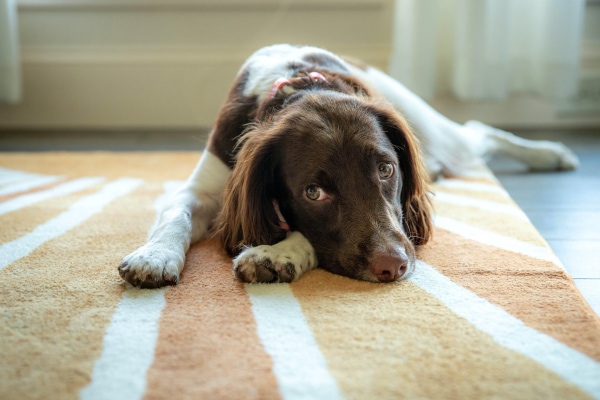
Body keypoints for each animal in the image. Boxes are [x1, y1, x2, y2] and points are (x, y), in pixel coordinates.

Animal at [117, 43, 576, 288]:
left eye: (386, 169)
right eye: (314, 192)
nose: (394, 265)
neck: (301, 84)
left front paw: (276, 254)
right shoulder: (208, 184)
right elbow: (176, 214)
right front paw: (154, 256)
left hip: (435, 133)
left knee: (480, 132)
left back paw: (552, 154)